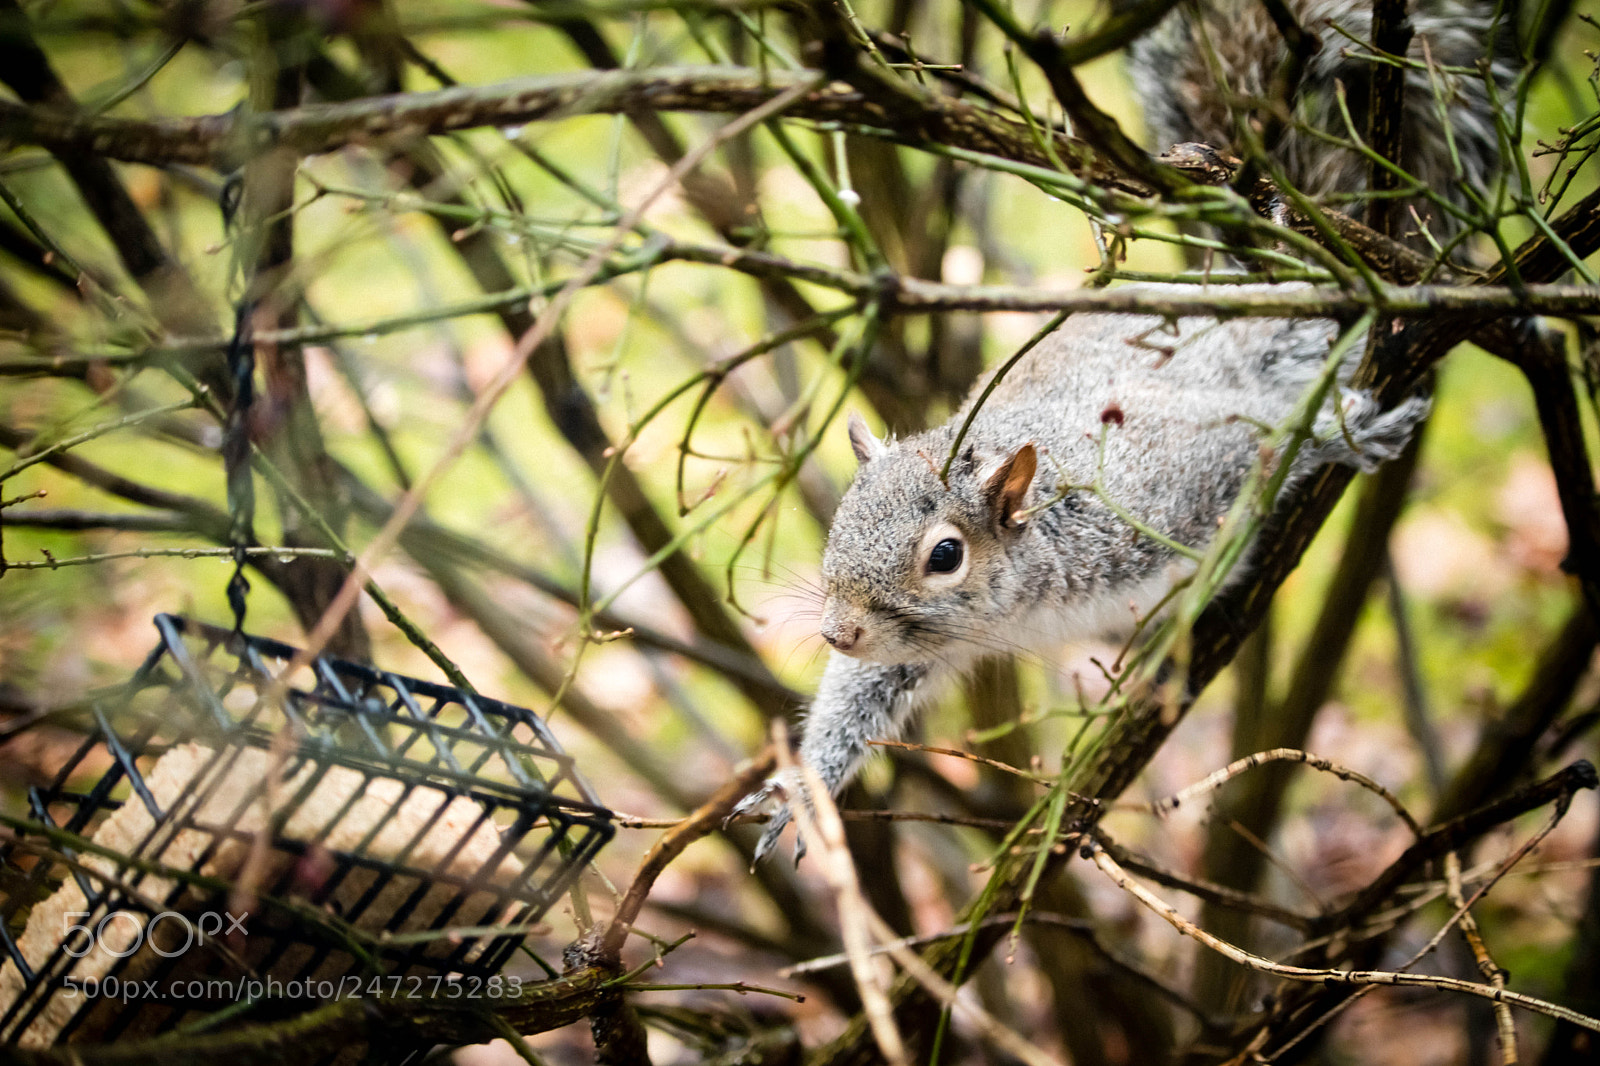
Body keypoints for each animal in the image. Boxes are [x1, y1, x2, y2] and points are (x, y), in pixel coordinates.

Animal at [736, 0, 1514, 862]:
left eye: (944, 556)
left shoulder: (1169, 483)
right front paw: (802, 789)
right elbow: (862, 695)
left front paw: (1342, 439)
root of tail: (1261, 279)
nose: (838, 632)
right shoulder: (919, 645)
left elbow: (1267, 444)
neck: (1025, 597)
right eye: (839, 520)